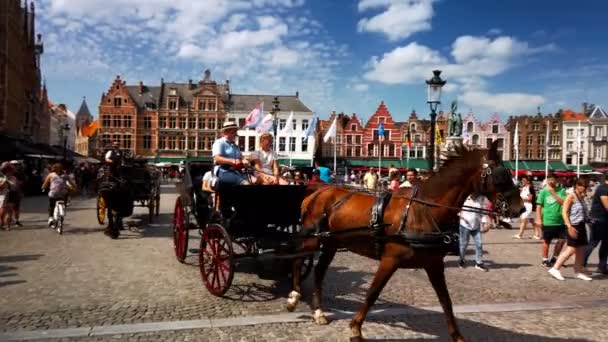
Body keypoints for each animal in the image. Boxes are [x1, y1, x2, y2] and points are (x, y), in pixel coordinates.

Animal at [288, 142, 524, 342]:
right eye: (501, 174)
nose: (520, 208)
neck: (423, 210)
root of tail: (318, 190)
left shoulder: (434, 264)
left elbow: (446, 301)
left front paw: (458, 337)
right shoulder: (390, 260)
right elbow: (373, 292)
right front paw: (356, 328)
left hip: (331, 244)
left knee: (319, 271)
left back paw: (318, 312)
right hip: (313, 240)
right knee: (298, 260)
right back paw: (294, 297)